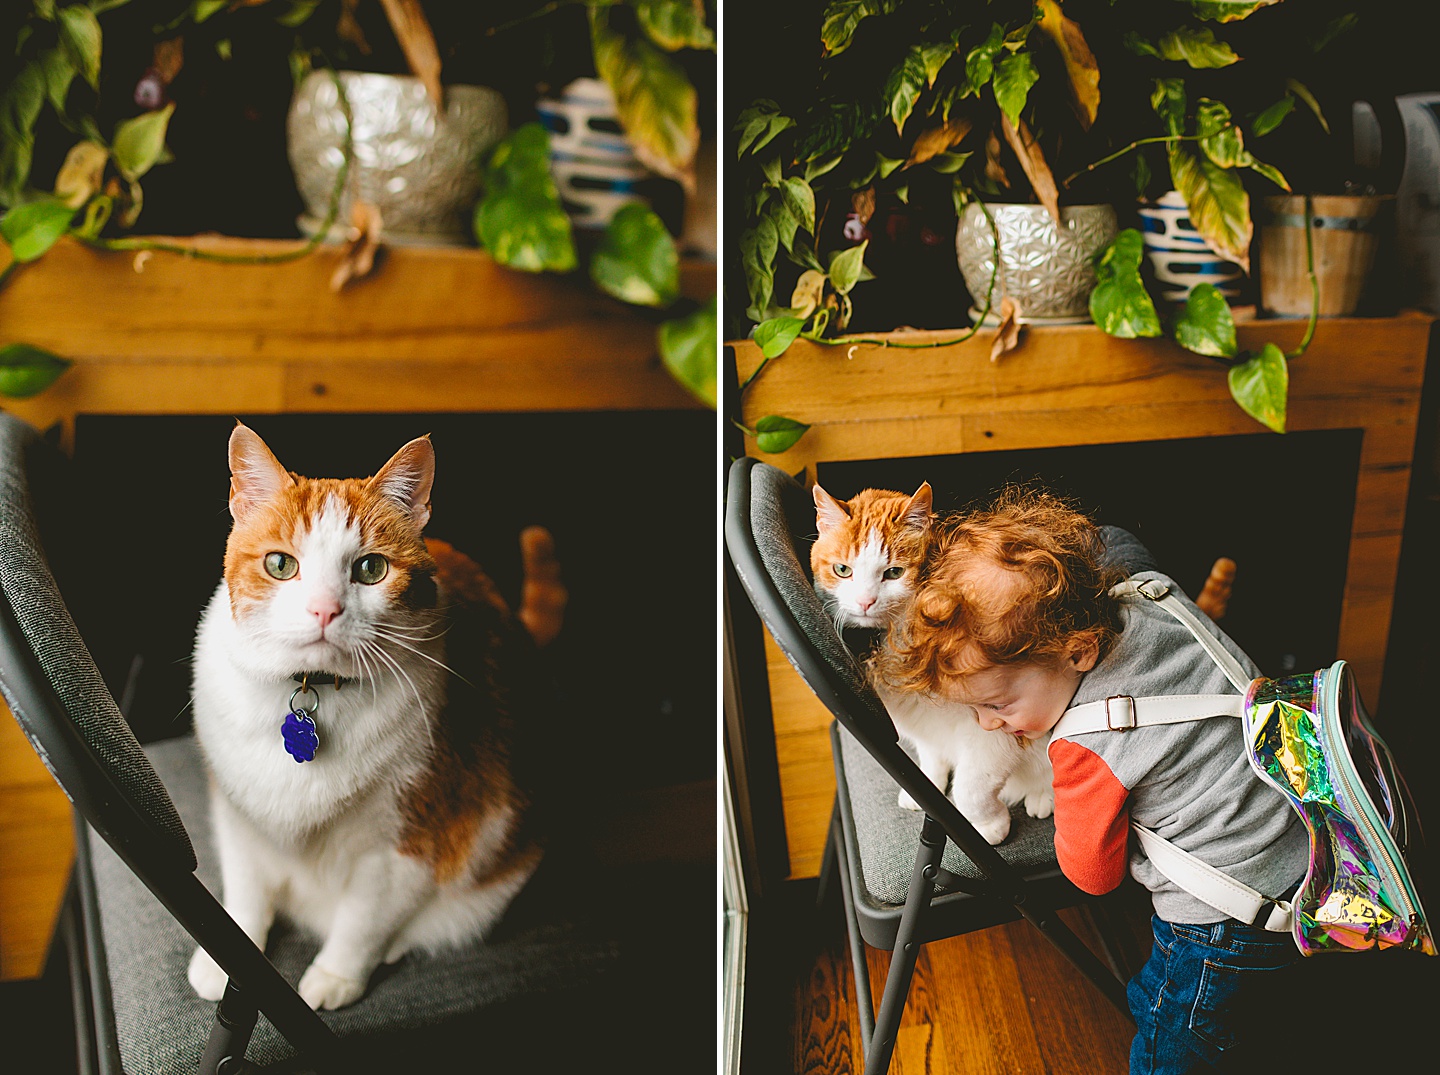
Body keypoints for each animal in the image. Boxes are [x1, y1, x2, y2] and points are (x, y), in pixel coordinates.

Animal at [185, 425, 555, 1007]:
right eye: (280, 564)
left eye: (371, 568)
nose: (324, 609)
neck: (311, 691)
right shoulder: (237, 815)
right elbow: (244, 892)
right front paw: (230, 960)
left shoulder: (412, 844)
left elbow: (364, 920)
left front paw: (336, 976)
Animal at [817, 483, 1054, 846]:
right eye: (843, 570)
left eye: (894, 572)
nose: (865, 602)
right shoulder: (925, 730)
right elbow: (929, 760)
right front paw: (928, 789)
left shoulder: (995, 730)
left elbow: (971, 788)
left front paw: (987, 825)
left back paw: (1043, 796)